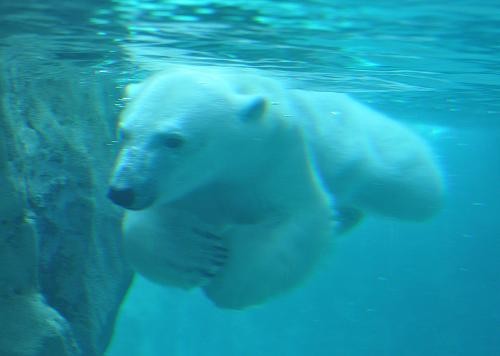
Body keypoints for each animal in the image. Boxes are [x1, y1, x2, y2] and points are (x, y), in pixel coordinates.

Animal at [107, 66, 444, 308]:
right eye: (124, 132)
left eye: (174, 140)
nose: (122, 191)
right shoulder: (187, 189)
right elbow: (145, 229)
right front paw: (197, 258)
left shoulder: (278, 159)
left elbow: (297, 222)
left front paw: (228, 283)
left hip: (355, 141)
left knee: (412, 183)